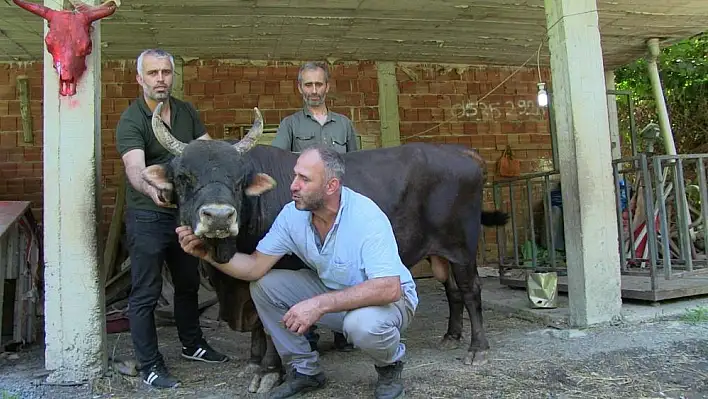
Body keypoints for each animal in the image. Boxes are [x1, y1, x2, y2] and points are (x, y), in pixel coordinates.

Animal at [144, 104, 508, 394]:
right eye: (183, 177)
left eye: (239, 179)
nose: (219, 216)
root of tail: (460, 153)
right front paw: (254, 362)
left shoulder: (274, 268)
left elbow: (266, 324)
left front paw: (270, 370)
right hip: (440, 253)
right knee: (452, 291)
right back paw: (451, 336)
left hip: (462, 247)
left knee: (470, 290)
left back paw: (477, 348)